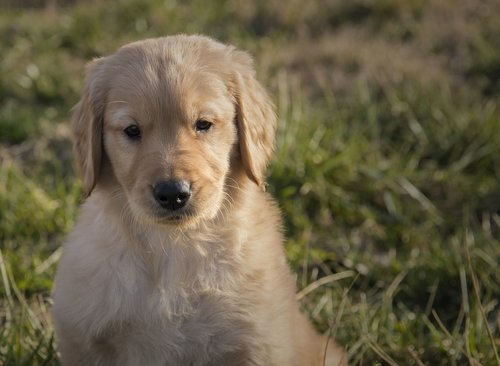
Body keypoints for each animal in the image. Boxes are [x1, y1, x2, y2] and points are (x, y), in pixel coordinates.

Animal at [52, 35, 346, 366]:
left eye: (203, 124)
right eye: (132, 130)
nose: (172, 193)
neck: (175, 248)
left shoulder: (258, 345)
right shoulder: (82, 337)